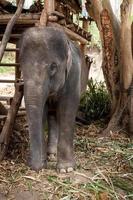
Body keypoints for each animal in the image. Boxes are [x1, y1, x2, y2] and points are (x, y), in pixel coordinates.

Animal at [19, 26, 86, 173]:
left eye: (53, 67)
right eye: (20, 66)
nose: (36, 167)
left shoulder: (74, 74)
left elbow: (67, 110)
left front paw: (66, 169)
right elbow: (42, 111)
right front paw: (43, 162)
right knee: (52, 116)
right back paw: (51, 154)